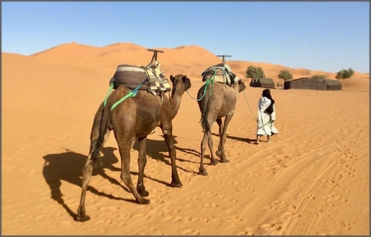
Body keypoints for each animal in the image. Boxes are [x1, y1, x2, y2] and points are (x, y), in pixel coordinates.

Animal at [74, 64, 193, 220]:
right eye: (186, 80)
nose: (191, 83)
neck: (171, 105)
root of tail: (109, 103)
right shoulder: (167, 124)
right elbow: (172, 151)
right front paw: (176, 181)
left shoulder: (143, 133)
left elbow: (142, 159)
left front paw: (142, 189)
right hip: (125, 129)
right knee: (124, 172)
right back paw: (141, 200)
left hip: (98, 124)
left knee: (88, 166)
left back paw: (81, 214)